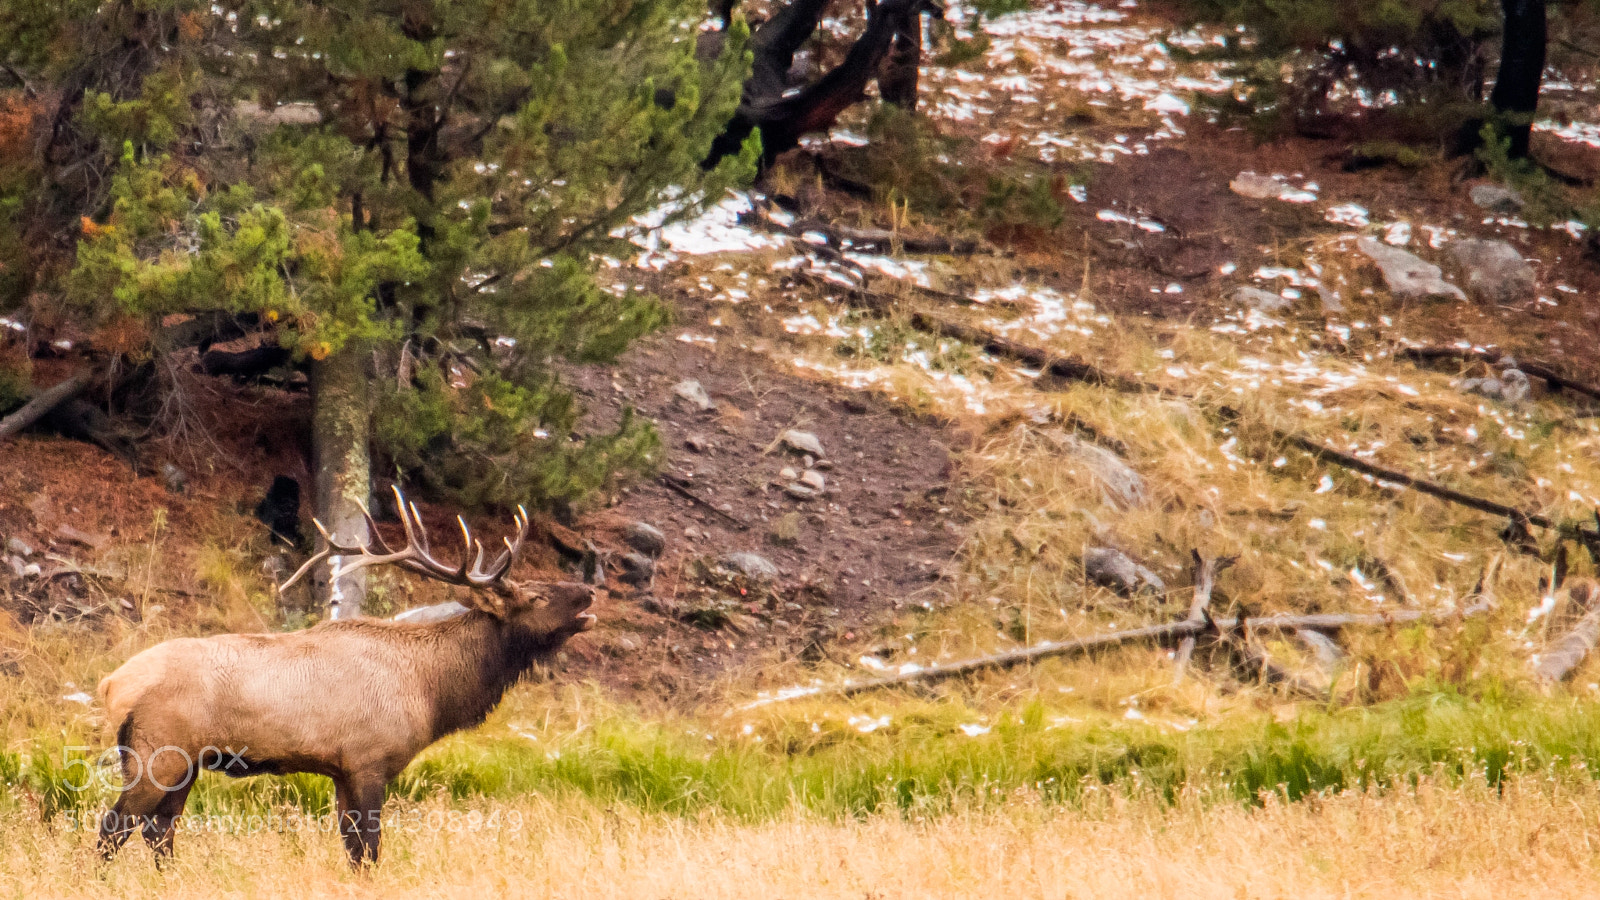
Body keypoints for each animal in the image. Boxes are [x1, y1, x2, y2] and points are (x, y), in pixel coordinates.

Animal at [95, 488, 596, 867]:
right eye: (535, 595)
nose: (590, 591)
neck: (432, 691)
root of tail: (110, 685)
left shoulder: (340, 770)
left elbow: (351, 849)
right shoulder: (368, 760)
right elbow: (369, 849)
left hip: (185, 763)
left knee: (158, 832)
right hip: (156, 752)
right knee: (115, 826)